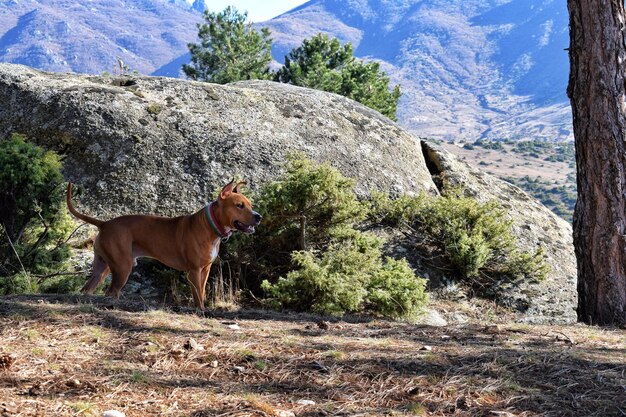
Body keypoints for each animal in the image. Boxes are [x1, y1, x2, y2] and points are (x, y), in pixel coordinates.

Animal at [63, 180, 258, 308]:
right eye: (239, 205)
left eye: (251, 204)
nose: (259, 216)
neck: (211, 226)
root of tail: (105, 223)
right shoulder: (194, 271)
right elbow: (197, 296)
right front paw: (200, 311)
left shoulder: (205, 270)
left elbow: (201, 292)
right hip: (122, 267)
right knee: (111, 291)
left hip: (102, 268)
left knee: (88, 289)